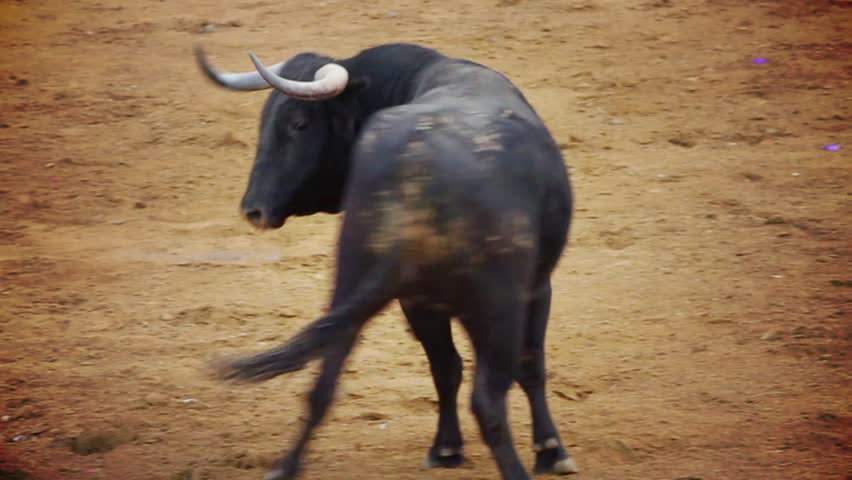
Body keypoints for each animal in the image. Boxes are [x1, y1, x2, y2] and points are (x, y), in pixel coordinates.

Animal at [195, 42, 576, 480]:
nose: (253, 209)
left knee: (326, 383)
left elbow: (451, 368)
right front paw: (551, 450)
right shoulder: (534, 288)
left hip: (355, 281)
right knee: (488, 400)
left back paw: (286, 467)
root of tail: (416, 171)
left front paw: (447, 448)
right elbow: (526, 365)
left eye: (299, 124)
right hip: (495, 306)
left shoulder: (420, 301)